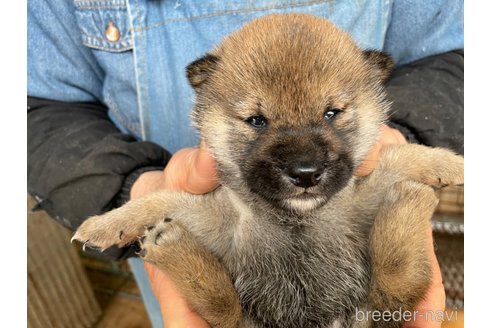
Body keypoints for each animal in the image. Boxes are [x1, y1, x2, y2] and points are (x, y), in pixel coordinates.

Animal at [72, 14, 462, 328]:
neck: (295, 220)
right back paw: (173, 247)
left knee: (395, 284)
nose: (305, 173)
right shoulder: (217, 221)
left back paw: (409, 201)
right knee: (224, 305)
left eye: (331, 113)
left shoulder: (358, 200)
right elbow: (160, 199)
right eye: (257, 121)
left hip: (372, 311)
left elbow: (396, 157)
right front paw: (108, 223)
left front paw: (449, 163)